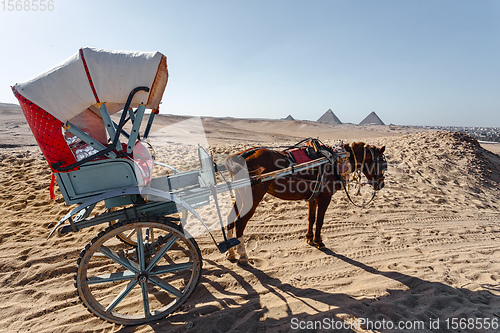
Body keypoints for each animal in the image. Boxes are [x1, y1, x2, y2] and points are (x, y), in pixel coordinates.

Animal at [226, 140, 386, 264]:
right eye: (383, 164)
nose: (381, 184)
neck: (336, 160)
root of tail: (240, 156)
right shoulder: (325, 198)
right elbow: (320, 220)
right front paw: (319, 241)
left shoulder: (314, 196)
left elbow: (311, 218)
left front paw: (309, 238)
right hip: (252, 197)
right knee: (240, 222)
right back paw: (242, 255)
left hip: (241, 195)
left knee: (230, 219)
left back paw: (231, 252)